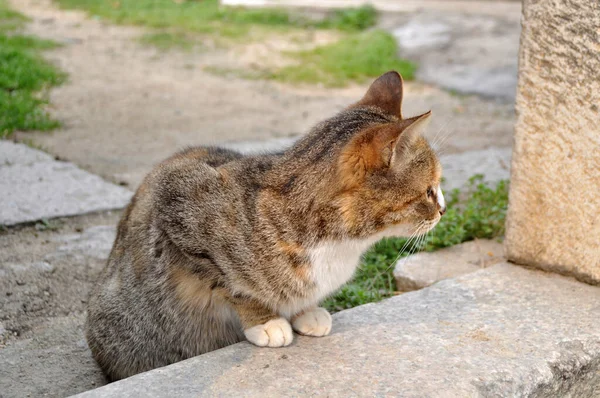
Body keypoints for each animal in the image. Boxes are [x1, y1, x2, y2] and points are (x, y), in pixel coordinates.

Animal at [84, 70, 446, 380]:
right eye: (430, 189)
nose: (444, 209)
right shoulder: (176, 200)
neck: (339, 244)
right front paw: (266, 320)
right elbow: (232, 285)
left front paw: (305, 310)